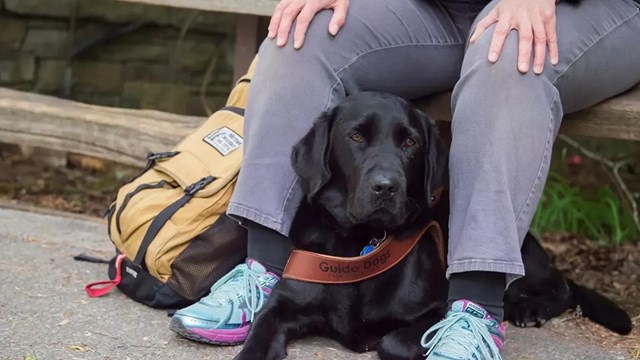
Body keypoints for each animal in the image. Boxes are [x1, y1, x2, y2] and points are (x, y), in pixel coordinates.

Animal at [234, 91, 632, 360]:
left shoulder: (439, 309)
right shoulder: (282, 304)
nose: (386, 187)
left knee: (560, 286)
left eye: (410, 141)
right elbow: (259, 334)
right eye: (356, 136)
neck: (359, 243)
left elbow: (393, 341)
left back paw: (528, 309)